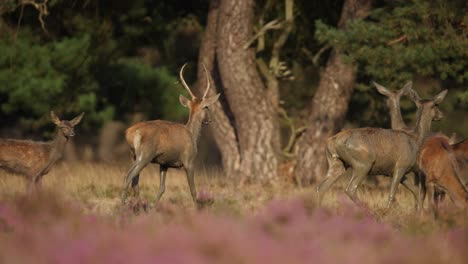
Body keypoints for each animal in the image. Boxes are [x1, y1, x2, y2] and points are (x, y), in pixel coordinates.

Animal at [122, 64, 221, 206]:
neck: (192, 134)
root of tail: (131, 132)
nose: (209, 120)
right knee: (128, 177)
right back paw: (123, 206)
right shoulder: (189, 160)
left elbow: (162, 188)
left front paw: (153, 207)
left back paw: (140, 205)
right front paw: (197, 208)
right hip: (145, 155)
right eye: (206, 107)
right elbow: (193, 190)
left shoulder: (164, 163)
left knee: (135, 181)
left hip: (134, 155)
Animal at [318, 87, 446, 209]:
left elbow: (416, 191)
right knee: (350, 189)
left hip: (336, 161)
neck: (416, 140)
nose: (441, 115)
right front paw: (387, 211)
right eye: (436, 105)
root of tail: (333, 141)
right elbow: (392, 193)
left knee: (322, 187)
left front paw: (421, 212)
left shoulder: (392, 171)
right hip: (363, 163)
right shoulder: (401, 165)